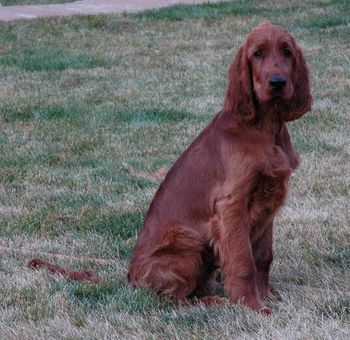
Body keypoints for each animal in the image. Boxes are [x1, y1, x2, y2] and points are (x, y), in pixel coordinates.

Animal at [128, 20, 312, 314]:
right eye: (257, 54)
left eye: (287, 52)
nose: (278, 83)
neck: (265, 129)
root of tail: (131, 276)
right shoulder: (231, 206)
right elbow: (243, 261)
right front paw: (252, 305)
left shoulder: (269, 204)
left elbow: (263, 257)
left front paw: (266, 295)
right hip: (188, 243)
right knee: (171, 298)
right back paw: (212, 301)